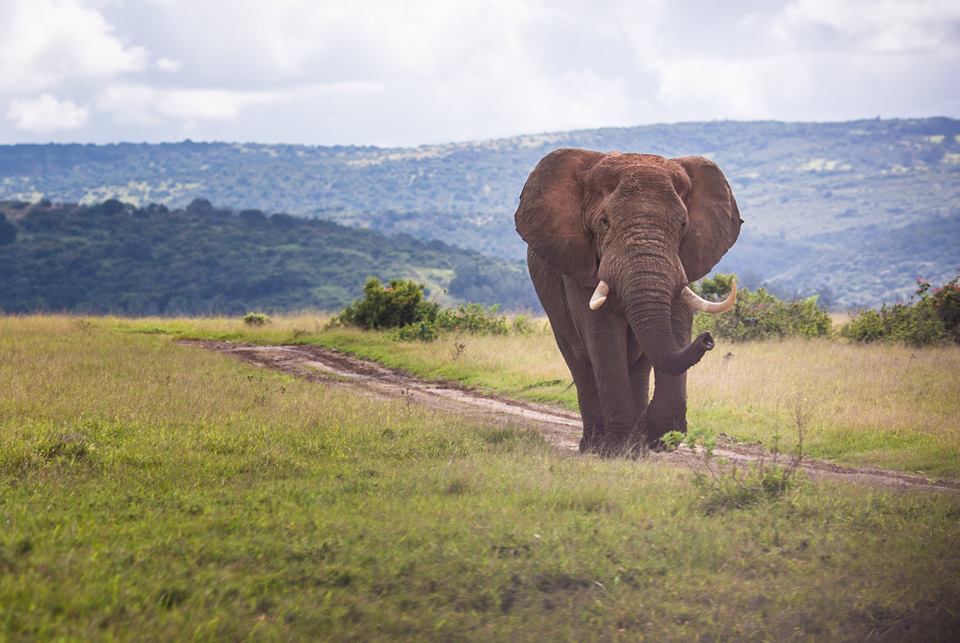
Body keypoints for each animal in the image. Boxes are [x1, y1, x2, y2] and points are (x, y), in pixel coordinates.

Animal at [516, 148, 744, 456]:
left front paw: (654, 438)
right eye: (604, 222)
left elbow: (678, 325)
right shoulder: (580, 266)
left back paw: (635, 450)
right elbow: (603, 339)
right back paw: (595, 446)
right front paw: (616, 450)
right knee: (580, 362)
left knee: (638, 364)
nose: (708, 338)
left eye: (683, 225)